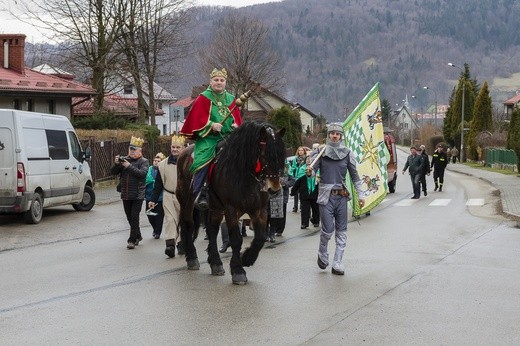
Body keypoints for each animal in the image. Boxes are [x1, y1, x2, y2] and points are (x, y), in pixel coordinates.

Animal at [177, 121, 286, 284]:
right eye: (265, 155)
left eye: (281, 155)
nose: (274, 190)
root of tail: (183, 153)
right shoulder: (231, 209)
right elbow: (236, 239)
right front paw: (238, 270)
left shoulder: (259, 209)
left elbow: (260, 237)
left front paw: (247, 259)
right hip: (186, 201)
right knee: (188, 224)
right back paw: (192, 258)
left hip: (215, 208)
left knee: (212, 230)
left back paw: (215, 263)